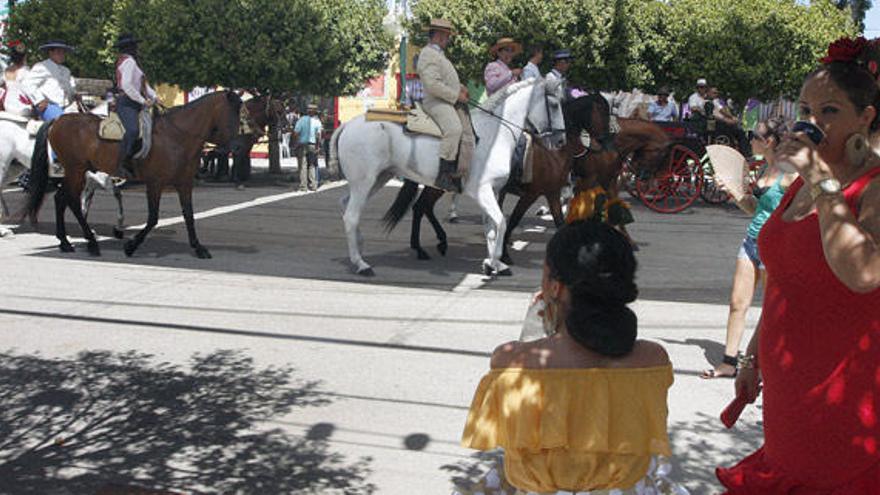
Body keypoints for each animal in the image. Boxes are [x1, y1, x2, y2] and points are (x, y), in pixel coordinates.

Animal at [24, 90, 244, 258]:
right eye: (232, 114)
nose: (237, 147)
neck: (177, 137)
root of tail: (57, 120)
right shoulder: (155, 184)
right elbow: (153, 218)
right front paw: (131, 246)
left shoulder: (184, 184)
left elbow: (189, 215)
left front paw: (198, 248)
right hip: (76, 170)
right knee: (71, 201)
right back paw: (91, 243)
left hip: (76, 171)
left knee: (61, 199)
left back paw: (65, 242)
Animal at [328, 79, 564, 278]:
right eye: (554, 104)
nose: (561, 140)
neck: (495, 135)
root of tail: (347, 125)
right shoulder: (483, 191)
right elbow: (501, 222)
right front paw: (495, 261)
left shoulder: (494, 191)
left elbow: (491, 227)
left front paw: (493, 263)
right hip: (364, 182)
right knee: (351, 216)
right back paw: (361, 264)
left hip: (378, 179)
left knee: (346, 205)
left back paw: (360, 247)